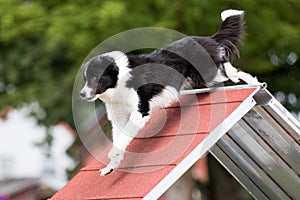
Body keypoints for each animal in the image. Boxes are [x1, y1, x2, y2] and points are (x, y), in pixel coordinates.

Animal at [79, 9, 260, 175]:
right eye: (85, 78)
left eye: (95, 77)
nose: (81, 94)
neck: (118, 82)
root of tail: (204, 38)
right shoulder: (118, 116)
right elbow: (120, 136)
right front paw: (110, 166)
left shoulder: (141, 110)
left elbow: (126, 133)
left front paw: (113, 155)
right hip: (205, 77)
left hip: (206, 74)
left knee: (224, 61)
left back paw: (249, 80)